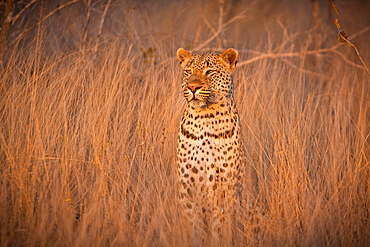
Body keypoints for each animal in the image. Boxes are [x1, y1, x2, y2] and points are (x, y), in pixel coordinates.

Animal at [176, 47, 243, 244]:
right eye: (188, 72)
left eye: (209, 72)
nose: (192, 87)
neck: (205, 117)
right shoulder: (187, 182)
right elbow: (193, 222)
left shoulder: (224, 184)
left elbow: (220, 223)